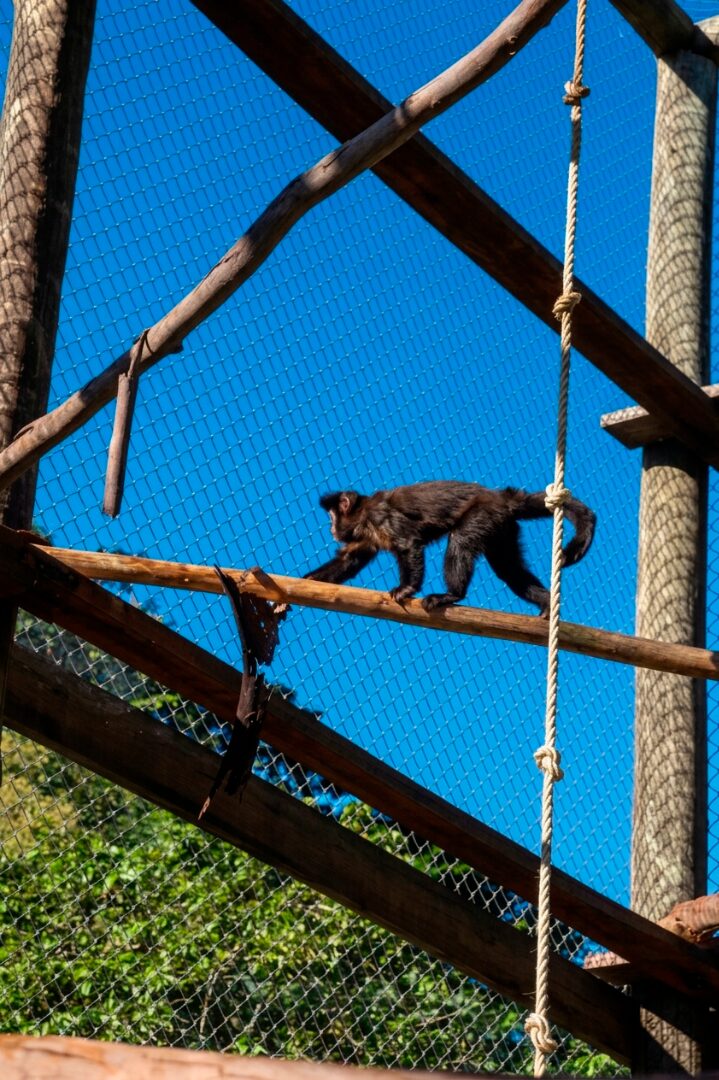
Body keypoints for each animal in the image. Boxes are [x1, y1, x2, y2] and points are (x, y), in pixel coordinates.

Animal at [304, 480, 595, 615]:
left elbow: (409, 544)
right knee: (508, 569)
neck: (364, 516)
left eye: (332, 516)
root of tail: (500, 498)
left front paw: (406, 588)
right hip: (501, 526)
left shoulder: (380, 517)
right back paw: (546, 601)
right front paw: (308, 582)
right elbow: (348, 560)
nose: (331, 529)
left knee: (461, 540)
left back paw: (452, 594)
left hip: (483, 514)